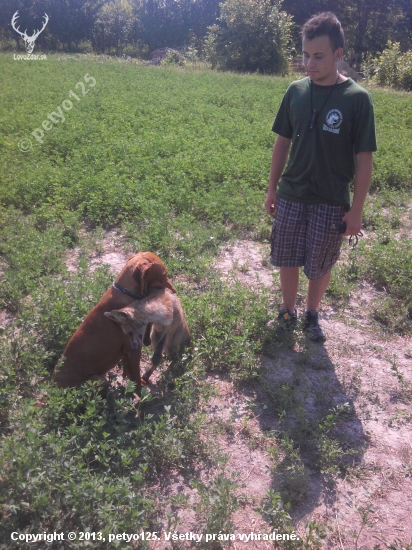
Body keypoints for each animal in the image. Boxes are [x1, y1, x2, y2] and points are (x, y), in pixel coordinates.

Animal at [51, 252, 175, 394]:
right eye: (164, 275)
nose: (174, 291)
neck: (128, 294)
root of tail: (52, 387)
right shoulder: (133, 349)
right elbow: (136, 377)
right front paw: (140, 393)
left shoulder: (127, 351)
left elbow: (129, 371)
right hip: (99, 380)